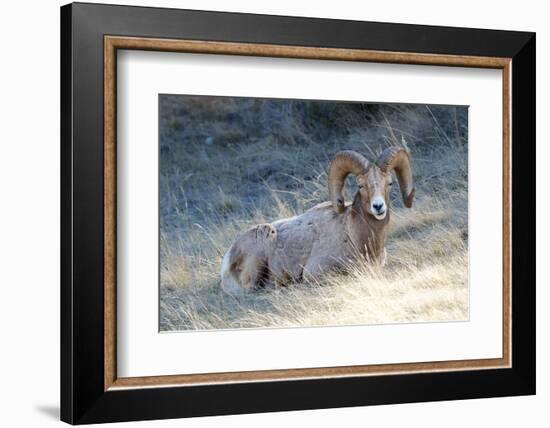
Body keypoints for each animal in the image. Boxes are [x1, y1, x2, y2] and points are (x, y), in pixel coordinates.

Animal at [220, 147, 414, 294]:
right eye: (361, 185)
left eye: (390, 183)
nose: (378, 207)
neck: (355, 235)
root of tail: (228, 258)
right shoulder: (316, 271)